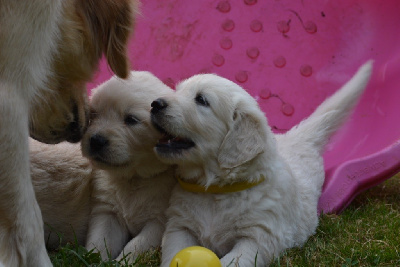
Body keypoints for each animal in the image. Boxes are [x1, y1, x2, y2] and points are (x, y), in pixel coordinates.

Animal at [79, 71, 175, 264]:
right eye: (94, 114)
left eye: (131, 119)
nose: (96, 140)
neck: (134, 178)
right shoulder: (107, 212)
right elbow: (100, 240)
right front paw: (96, 261)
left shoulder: (159, 221)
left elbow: (136, 246)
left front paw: (121, 263)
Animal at [152, 61, 374, 266]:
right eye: (177, 90)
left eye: (201, 100)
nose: (155, 104)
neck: (215, 190)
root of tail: (297, 139)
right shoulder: (180, 225)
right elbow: (173, 250)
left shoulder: (259, 237)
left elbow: (234, 260)